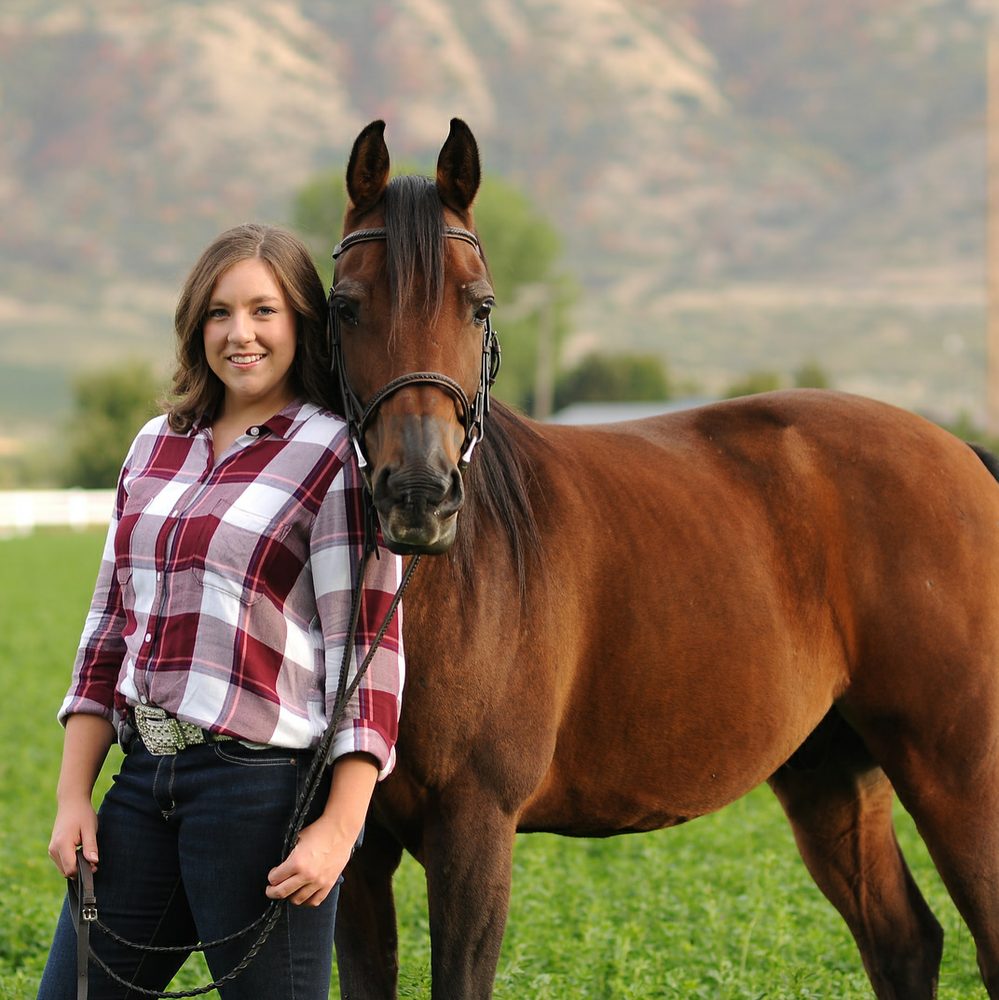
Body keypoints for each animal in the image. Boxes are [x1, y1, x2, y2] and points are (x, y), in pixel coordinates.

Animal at [327, 118, 999, 999]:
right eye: (346, 304)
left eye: (480, 306)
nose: (418, 495)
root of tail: (960, 455)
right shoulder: (355, 856)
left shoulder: (473, 830)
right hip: (831, 775)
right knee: (903, 939)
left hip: (956, 772)